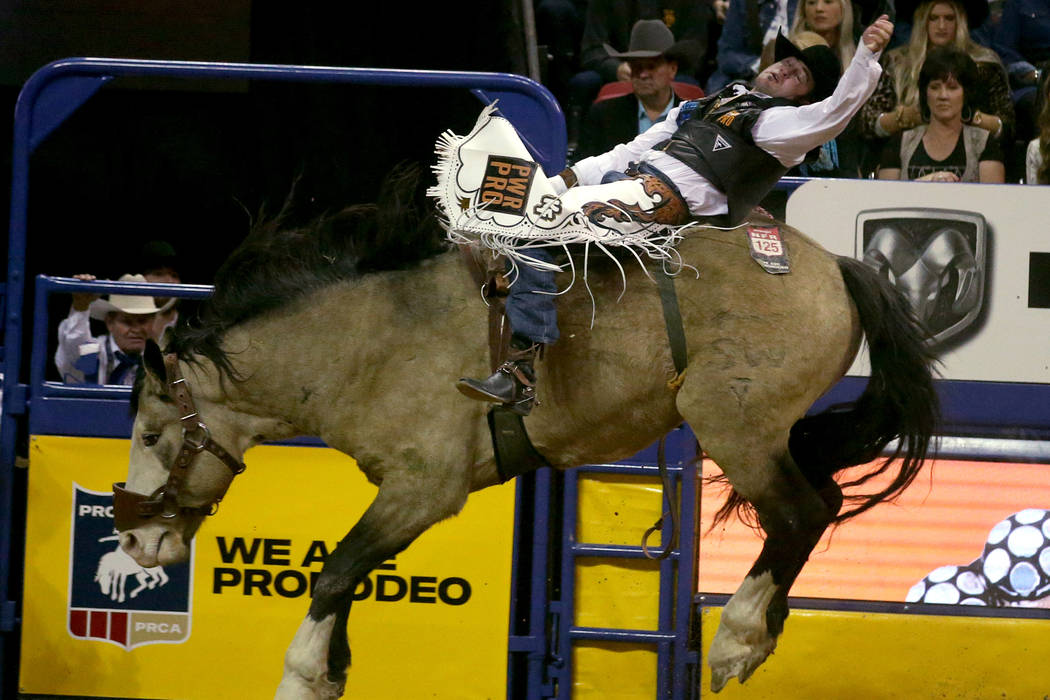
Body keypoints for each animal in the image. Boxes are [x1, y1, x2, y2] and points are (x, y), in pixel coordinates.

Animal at [112, 164, 936, 696]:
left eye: (152, 434)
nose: (133, 538)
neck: (370, 341)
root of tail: (835, 267)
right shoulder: (401, 496)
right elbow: (348, 577)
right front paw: (329, 670)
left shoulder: (424, 488)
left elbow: (337, 570)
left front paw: (302, 674)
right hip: (770, 429)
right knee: (820, 504)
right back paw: (767, 625)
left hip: (732, 420)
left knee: (799, 512)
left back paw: (737, 637)